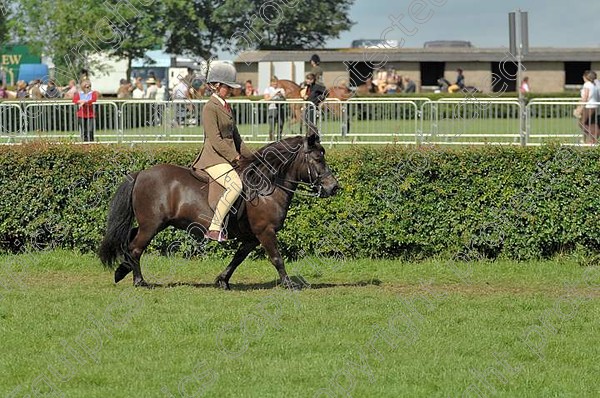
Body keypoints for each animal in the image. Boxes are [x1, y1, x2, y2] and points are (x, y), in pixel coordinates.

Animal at [101, 131, 340, 290]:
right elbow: (277, 258)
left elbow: (237, 258)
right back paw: (139, 281)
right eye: (318, 158)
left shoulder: (252, 237)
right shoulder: (265, 231)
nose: (334, 187)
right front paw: (289, 284)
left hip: (149, 224)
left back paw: (122, 271)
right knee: (135, 248)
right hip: (151, 225)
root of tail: (141, 173)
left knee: (129, 241)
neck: (267, 185)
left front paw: (222, 281)